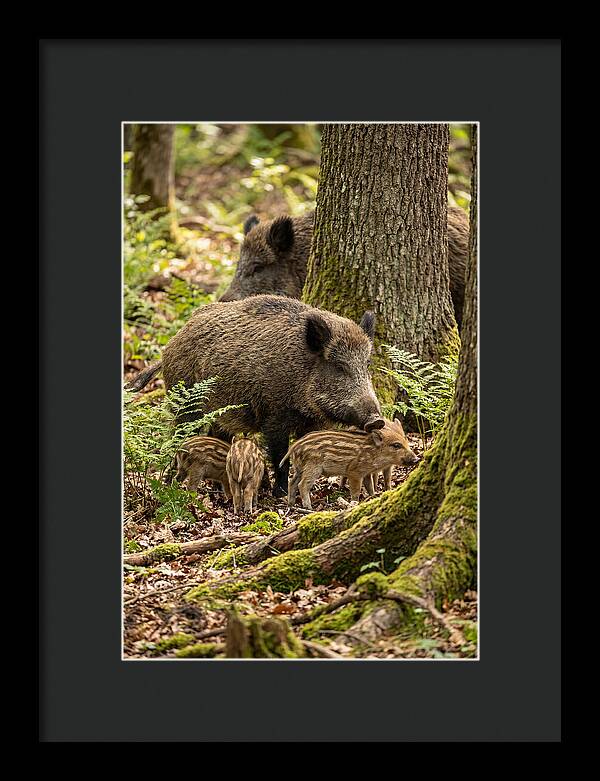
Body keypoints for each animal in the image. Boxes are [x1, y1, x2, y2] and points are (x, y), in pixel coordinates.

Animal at [128, 295, 384, 496]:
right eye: (339, 367)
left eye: (367, 364)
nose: (377, 420)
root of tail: (171, 343)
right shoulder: (274, 417)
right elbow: (280, 456)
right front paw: (279, 494)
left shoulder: (313, 423)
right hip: (186, 404)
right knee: (178, 437)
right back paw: (169, 483)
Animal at [280, 419, 419, 510]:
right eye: (396, 445)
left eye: (406, 442)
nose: (416, 459)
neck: (373, 452)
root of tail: (294, 446)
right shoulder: (354, 472)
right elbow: (356, 490)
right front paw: (354, 503)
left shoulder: (366, 473)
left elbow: (369, 486)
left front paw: (373, 497)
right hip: (312, 467)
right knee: (302, 484)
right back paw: (308, 508)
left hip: (299, 468)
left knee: (292, 482)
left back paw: (291, 504)